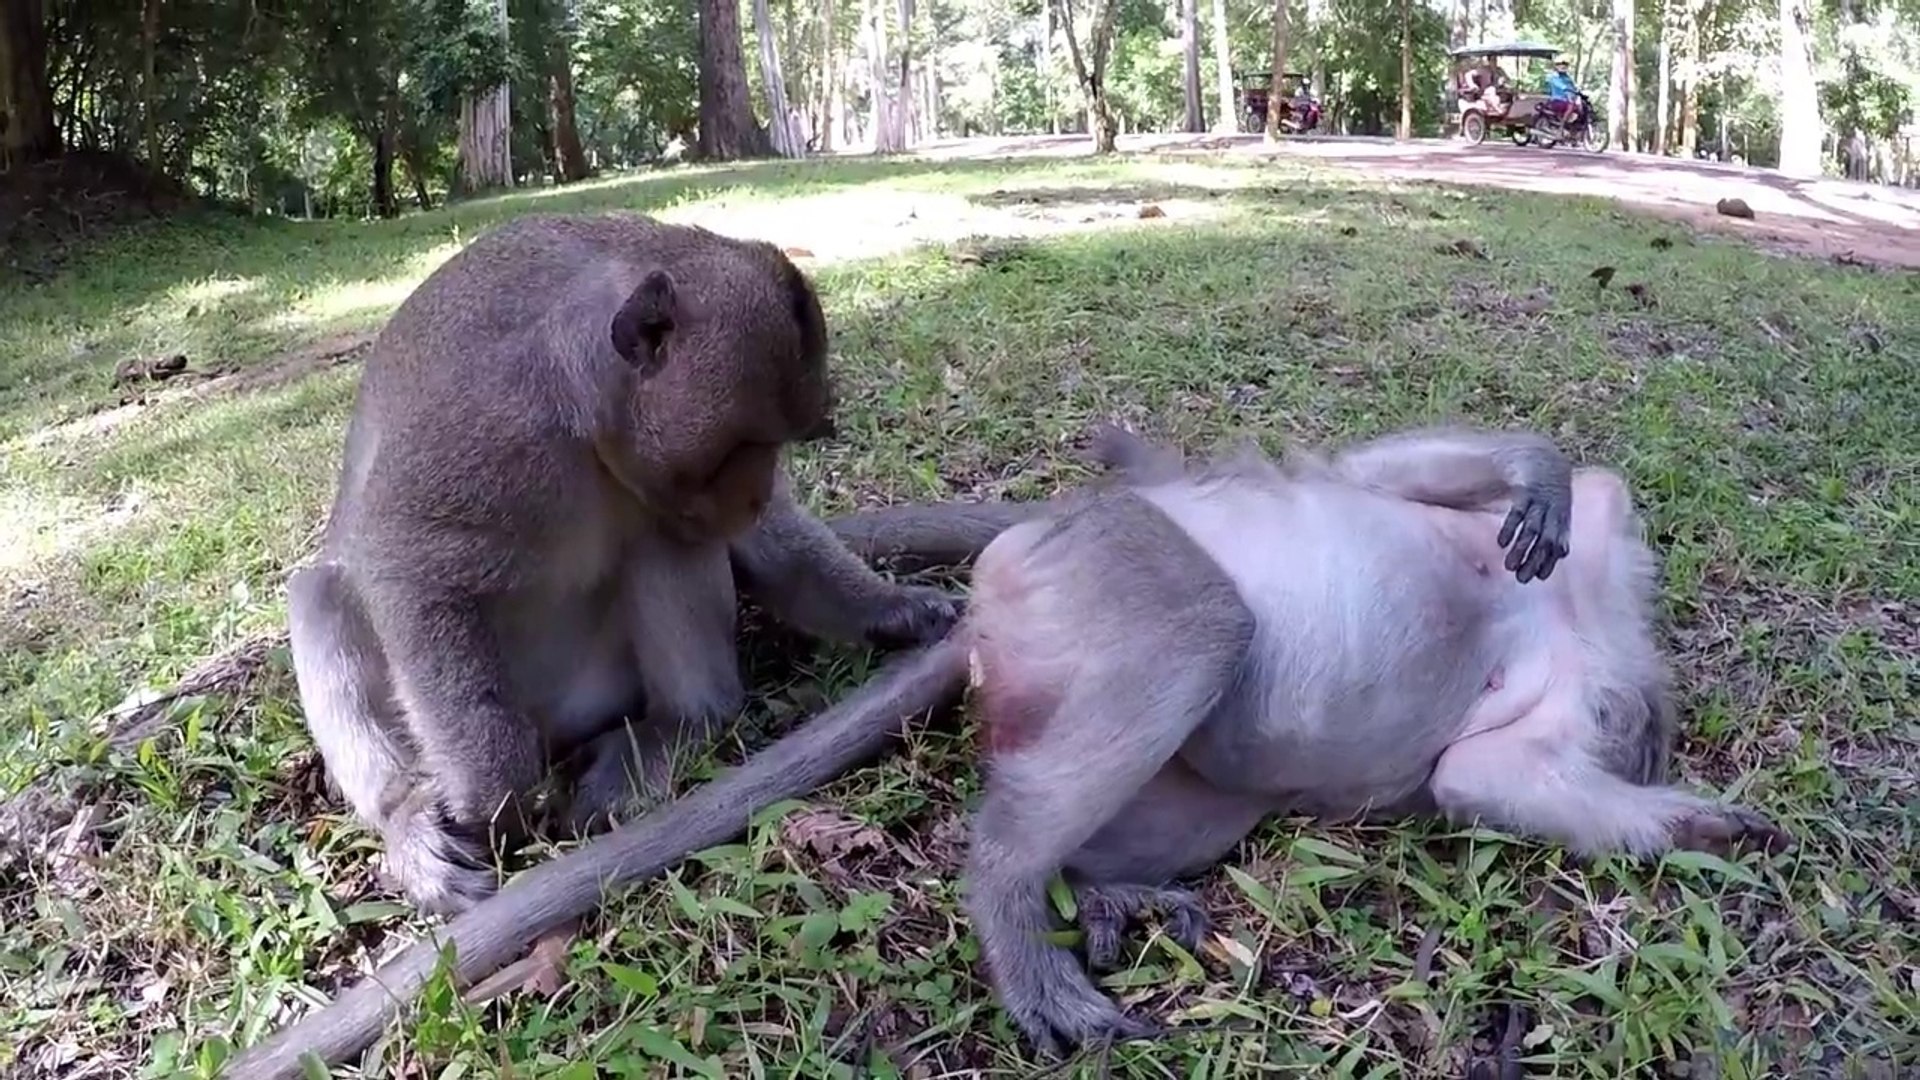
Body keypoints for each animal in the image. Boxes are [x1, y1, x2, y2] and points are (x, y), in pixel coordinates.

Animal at [286, 211, 971, 920]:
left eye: (781, 444)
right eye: (740, 447)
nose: (754, 496)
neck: (585, 422)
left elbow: (761, 545)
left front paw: (892, 607)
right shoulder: (491, 429)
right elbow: (410, 567)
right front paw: (492, 792)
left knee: (663, 535)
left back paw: (682, 724)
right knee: (321, 594)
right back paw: (406, 815)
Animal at [953, 424, 1793, 1056]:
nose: (1633, 725)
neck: (1578, 616)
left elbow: (1474, 772)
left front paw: (1703, 827)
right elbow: (1371, 475)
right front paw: (1537, 469)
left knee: (1201, 798)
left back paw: (1098, 890)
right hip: (1103, 551)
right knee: (1200, 628)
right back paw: (1009, 881)